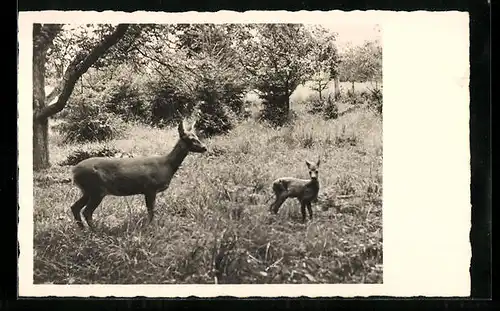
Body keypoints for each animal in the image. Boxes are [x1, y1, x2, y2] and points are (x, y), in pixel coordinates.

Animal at [69, 118, 206, 230]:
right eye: (191, 139)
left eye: (197, 136)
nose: (204, 147)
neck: (167, 165)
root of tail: (73, 171)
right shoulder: (150, 188)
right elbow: (151, 211)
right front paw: (150, 227)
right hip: (96, 189)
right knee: (86, 211)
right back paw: (96, 230)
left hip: (88, 191)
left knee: (75, 207)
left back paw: (83, 229)